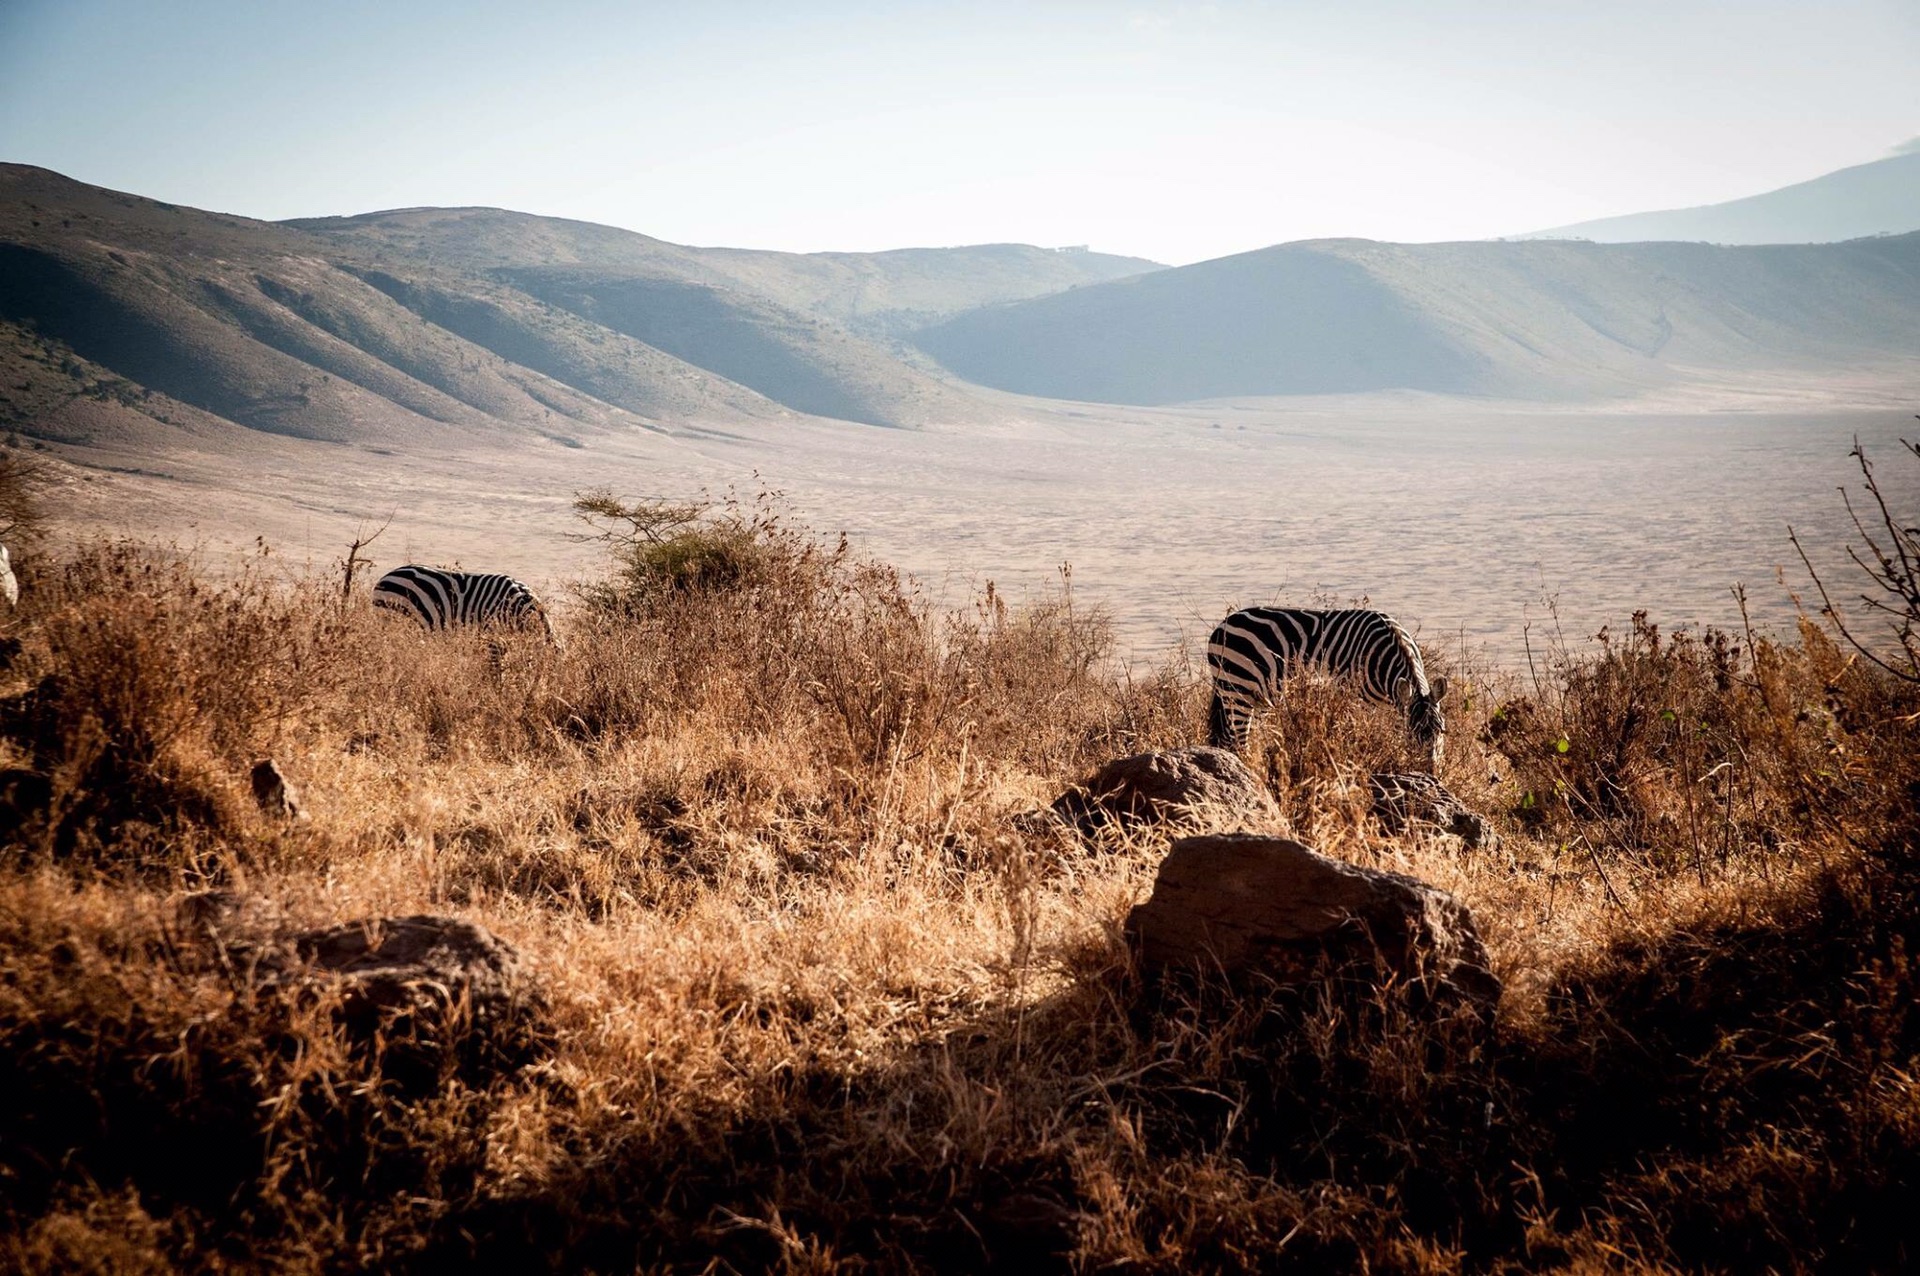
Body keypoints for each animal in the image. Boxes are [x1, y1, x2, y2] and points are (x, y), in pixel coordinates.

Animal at [1205, 606, 1443, 767]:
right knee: (1238, 740)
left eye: (1442, 731)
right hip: (1237, 689)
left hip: (1258, 696)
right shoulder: (1355, 696)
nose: (1430, 772)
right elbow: (1357, 733)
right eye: (1414, 734)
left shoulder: (1392, 703)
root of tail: (1220, 626)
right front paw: (1356, 759)